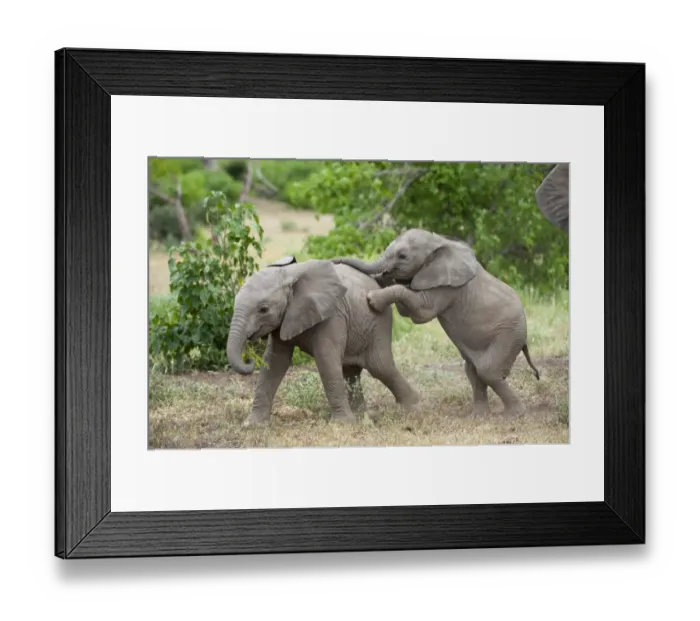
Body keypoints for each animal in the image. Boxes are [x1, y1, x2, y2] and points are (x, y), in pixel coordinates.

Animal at [226, 255, 421, 427]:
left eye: (263, 309)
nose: (249, 359)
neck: (289, 274)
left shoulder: (333, 313)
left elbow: (326, 359)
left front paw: (342, 425)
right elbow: (274, 362)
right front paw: (252, 425)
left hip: (379, 321)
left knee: (380, 366)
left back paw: (413, 407)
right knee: (351, 371)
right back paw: (361, 416)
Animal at [332, 230, 541, 418]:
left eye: (402, 256)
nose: (334, 261)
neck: (439, 241)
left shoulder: (448, 287)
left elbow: (421, 312)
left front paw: (372, 299)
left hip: (509, 335)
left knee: (488, 371)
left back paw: (513, 415)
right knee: (474, 372)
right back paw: (479, 417)